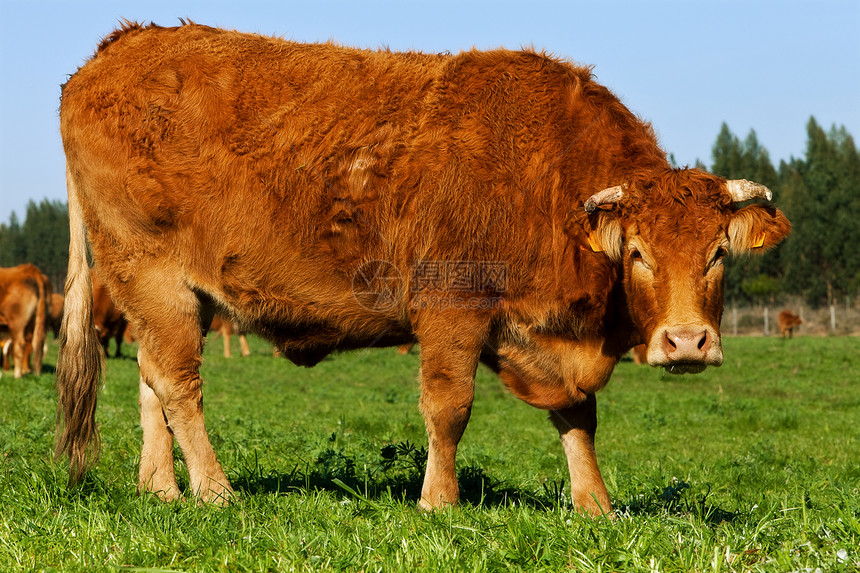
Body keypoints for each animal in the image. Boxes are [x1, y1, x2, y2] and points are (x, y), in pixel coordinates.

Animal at [57, 22, 788, 512]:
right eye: (638, 252)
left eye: (717, 253)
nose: (687, 343)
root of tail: (122, 44)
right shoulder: (451, 306)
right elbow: (448, 406)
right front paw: (439, 500)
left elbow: (579, 415)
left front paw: (594, 503)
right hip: (153, 276)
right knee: (179, 386)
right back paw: (214, 490)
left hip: (171, 296)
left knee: (151, 380)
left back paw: (161, 488)